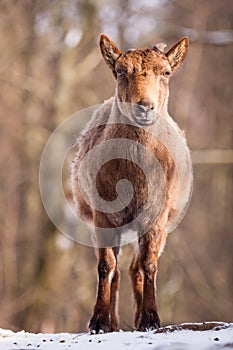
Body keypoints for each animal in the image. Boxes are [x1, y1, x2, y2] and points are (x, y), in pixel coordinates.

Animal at [72, 34, 192, 332]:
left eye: (166, 72)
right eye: (120, 71)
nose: (144, 106)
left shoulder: (156, 214)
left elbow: (149, 263)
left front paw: (150, 318)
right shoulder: (101, 214)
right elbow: (105, 265)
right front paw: (99, 321)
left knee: (135, 265)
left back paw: (138, 317)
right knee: (116, 267)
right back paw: (113, 321)